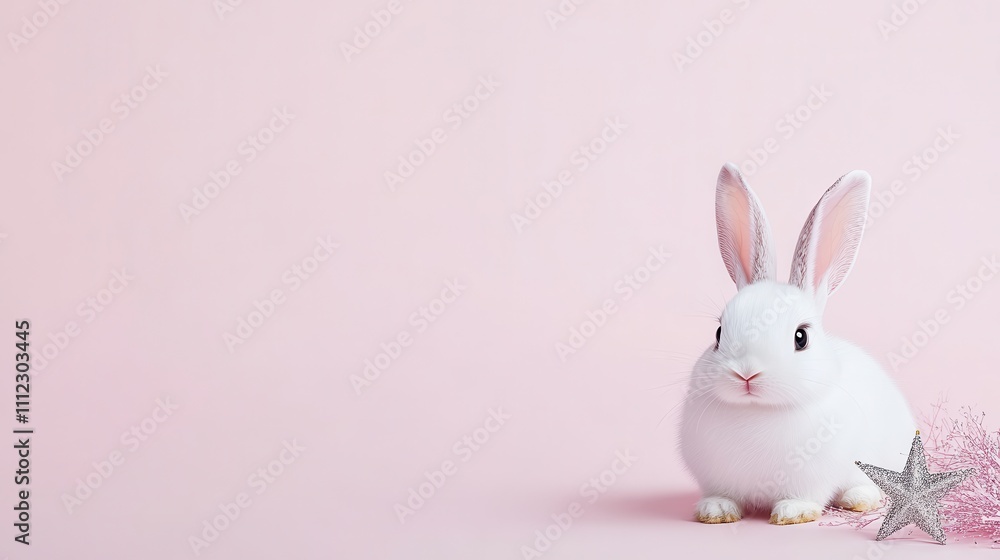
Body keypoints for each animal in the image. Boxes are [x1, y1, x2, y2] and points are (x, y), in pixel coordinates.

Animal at [679, 163, 915, 525]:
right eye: (718, 333)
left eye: (800, 337)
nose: (746, 374)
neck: (758, 412)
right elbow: (723, 495)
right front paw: (715, 510)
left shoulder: (815, 476)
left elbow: (806, 495)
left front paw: (793, 513)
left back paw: (859, 499)